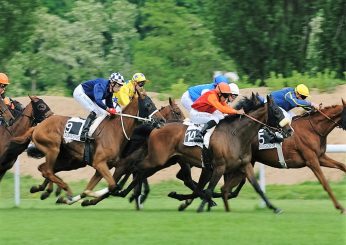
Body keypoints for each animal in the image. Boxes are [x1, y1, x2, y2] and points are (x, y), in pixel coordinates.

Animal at [88, 93, 292, 211]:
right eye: (276, 111)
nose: (289, 131)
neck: (236, 135)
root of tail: (156, 127)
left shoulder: (244, 165)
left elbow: (257, 187)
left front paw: (274, 207)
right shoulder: (218, 167)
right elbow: (209, 188)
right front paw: (202, 206)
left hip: (164, 161)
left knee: (143, 172)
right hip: (157, 159)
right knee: (136, 168)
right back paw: (118, 192)